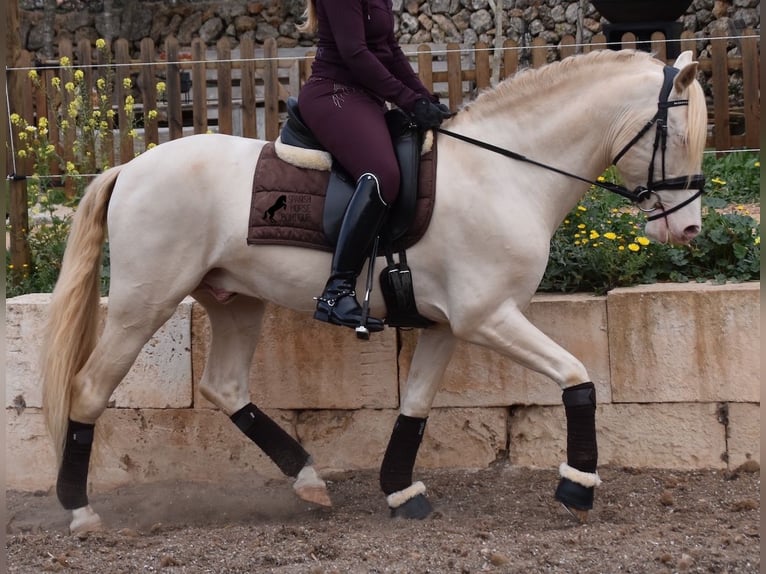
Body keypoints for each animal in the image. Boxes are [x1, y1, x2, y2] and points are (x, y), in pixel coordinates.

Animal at [39, 50, 704, 536]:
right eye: (674, 130)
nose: (689, 231)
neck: (504, 173)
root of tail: (132, 167)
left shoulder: (448, 325)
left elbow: (416, 404)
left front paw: (402, 490)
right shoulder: (488, 316)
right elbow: (577, 377)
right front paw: (577, 486)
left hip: (237, 302)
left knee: (225, 386)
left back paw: (308, 479)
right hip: (141, 305)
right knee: (89, 389)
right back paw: (80, 511)